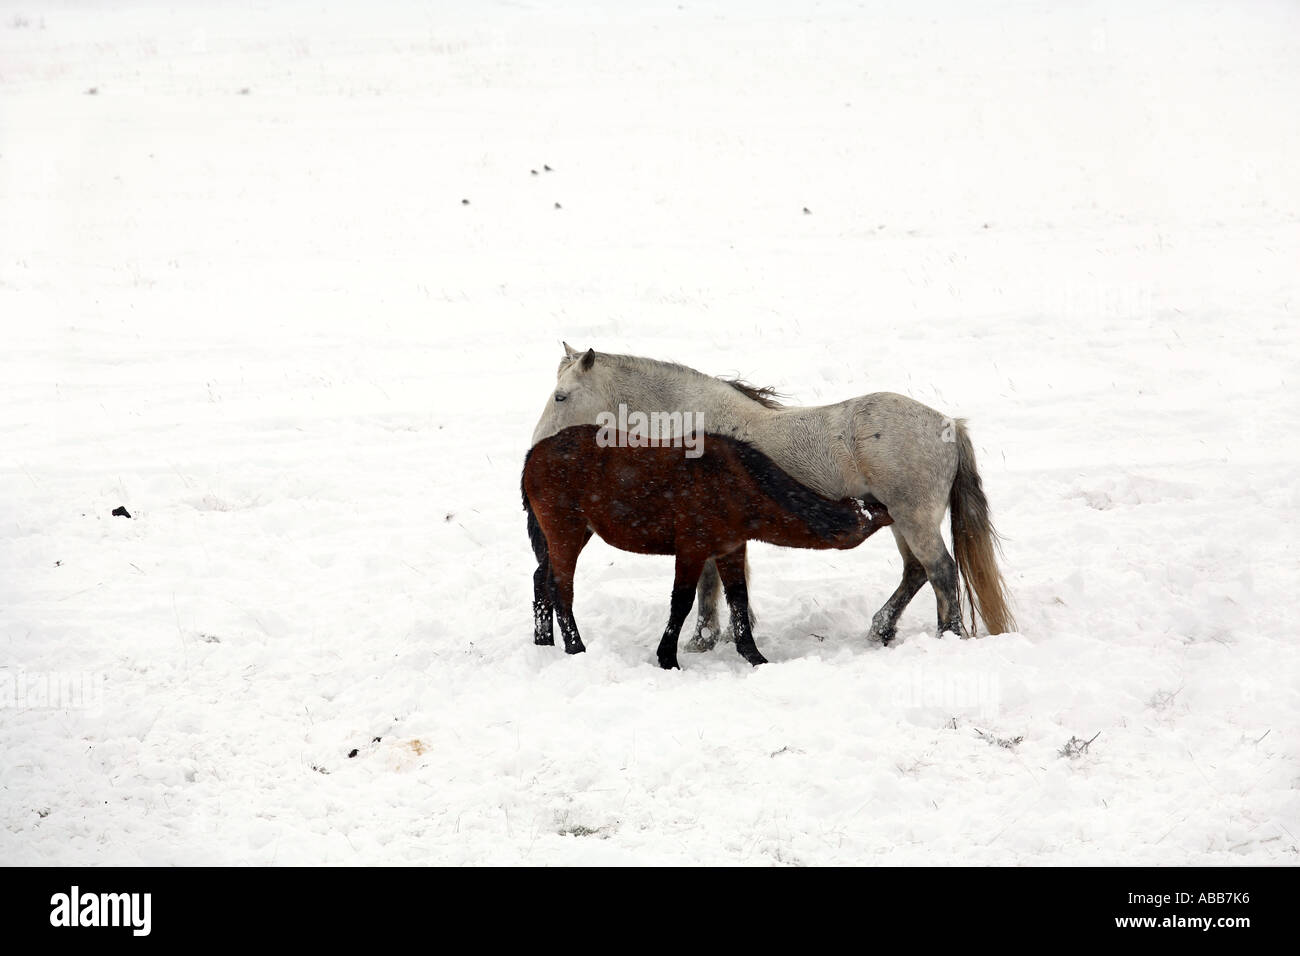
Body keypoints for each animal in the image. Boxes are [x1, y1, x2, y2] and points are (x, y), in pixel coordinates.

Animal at [520, 426, 894, 671]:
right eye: (868, 511)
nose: (889, 508)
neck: (736, 483)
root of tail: (534, 453)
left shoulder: (731, 549)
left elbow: (739, 600)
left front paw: (753, 655)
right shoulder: (692, 549)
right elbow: (682, 603)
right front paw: (667, 657)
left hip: (572, 533)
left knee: (541, 579)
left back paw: (544, 642)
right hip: (564, 530)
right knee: (560, 587)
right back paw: (575, 647)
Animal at [527, 343, 1013, 650]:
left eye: (561, 395)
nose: (536, 446)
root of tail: (948, 425)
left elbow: (707, 585)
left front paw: (702, 640)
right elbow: (714, 584)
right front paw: (714, 637)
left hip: (914, 518)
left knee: (941, 572)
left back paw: (947, 636)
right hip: (899, 520)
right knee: (916, 573)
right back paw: (880, 630)